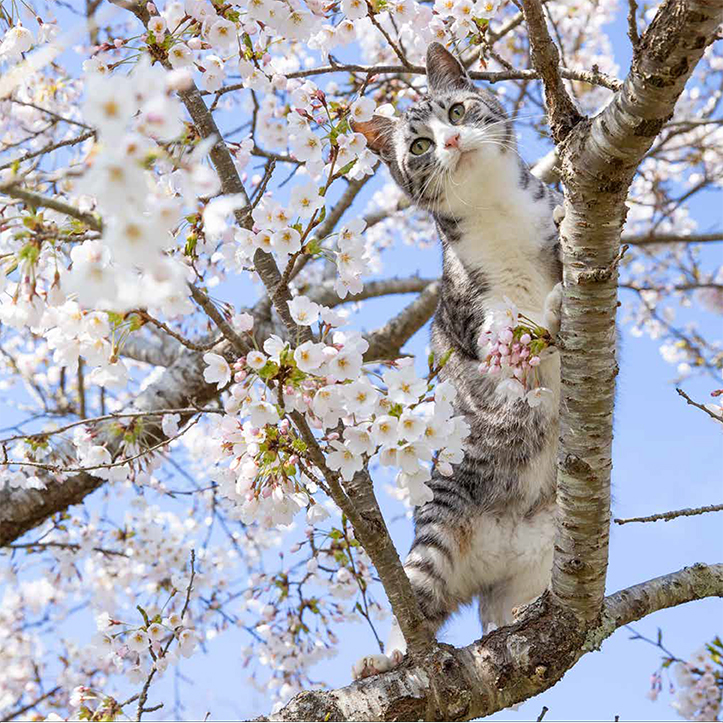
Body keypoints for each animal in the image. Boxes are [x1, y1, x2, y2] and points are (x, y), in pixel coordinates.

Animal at [350, 43, 564, 680]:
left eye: (458, 109)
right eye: (419, 146)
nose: (449, 140)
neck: (497, 214)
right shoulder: (464, 302)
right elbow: (495, 326)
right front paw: (516, 335)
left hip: (547, 549)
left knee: (518, 610)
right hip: (438, 535)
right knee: (423, 608)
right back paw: (391, 655)